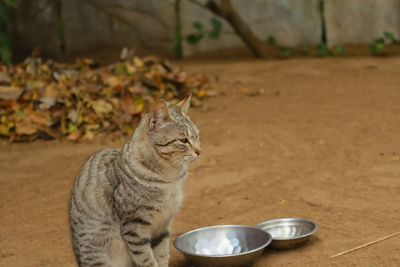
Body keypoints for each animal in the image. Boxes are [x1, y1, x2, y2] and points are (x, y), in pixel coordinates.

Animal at [69, 95, 200, 266]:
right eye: (184, 140)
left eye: (197, 136)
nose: (199, 151)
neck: (170, 178)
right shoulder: (134, 226)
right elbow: (147, 259)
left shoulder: (163, 225)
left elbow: (162, 254)